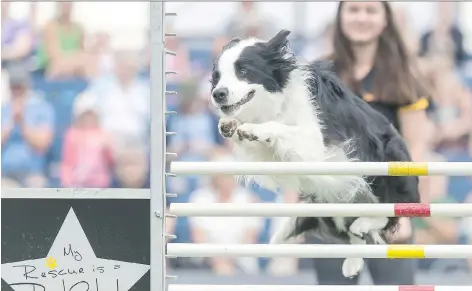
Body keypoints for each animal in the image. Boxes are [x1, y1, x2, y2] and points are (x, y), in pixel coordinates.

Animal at [211, 30, 420, 278]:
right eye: (216, 76)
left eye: (243, 70)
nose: (217, 94)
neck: (277, 99)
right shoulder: (271, 156)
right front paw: (230, 125)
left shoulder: (315, 142)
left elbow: (279, 127)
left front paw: (255, 129)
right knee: (354, 232)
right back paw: (353, 260)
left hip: (385, 165)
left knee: (389, 211)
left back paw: (364, 224)